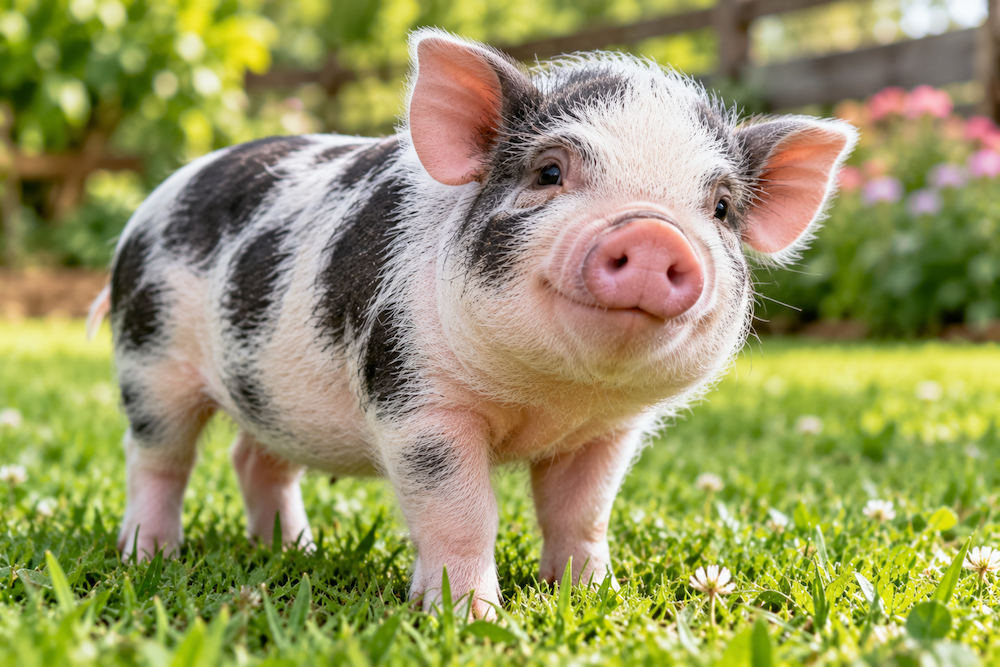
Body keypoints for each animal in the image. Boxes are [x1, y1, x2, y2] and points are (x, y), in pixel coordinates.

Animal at [89, 28, 857, 618]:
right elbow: (462, 512)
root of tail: (149, 203)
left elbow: (582, 512)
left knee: (255, 460)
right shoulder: (418, 399)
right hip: (148, 357)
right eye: (549, 172)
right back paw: (149, 554)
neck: (552, 395)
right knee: (159, 457)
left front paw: (592, 597)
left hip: (269, 386)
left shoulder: (606, 432)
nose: (654, 235)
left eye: (721, 208)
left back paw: (290, 550)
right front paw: (468, 618)